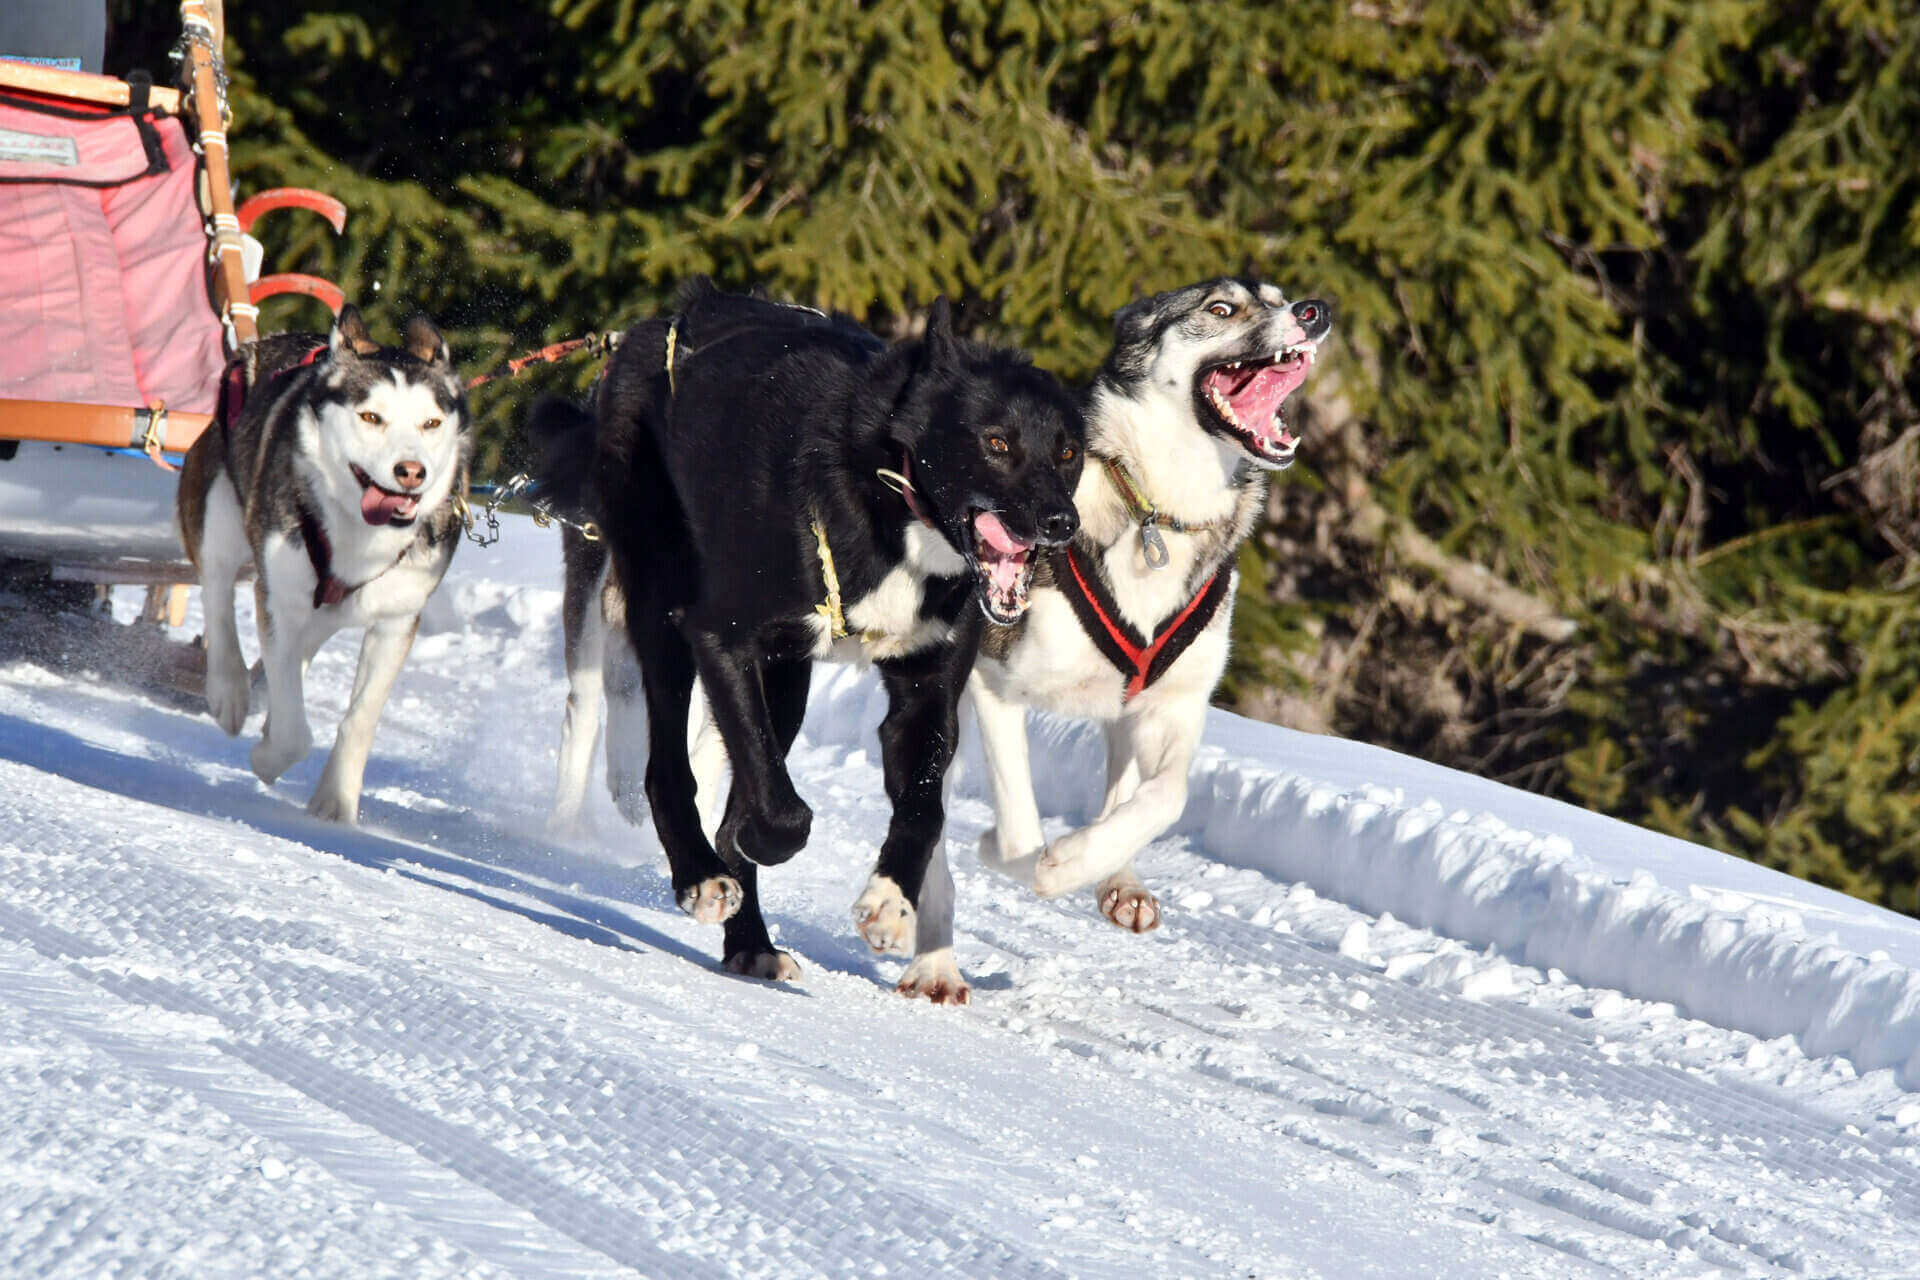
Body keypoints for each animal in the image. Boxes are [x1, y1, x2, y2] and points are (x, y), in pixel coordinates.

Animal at [177, 307, 472, 821]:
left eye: (431, 423)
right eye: (371, 417)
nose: (412, 472)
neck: (360, 534)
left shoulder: (396, 621)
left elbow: (359, 719)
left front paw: (336, 800)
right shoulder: (280, 598)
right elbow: (294, 733)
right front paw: (268, 756)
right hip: (219, 510)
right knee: (217, 590)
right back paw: (230, 689)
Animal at [533, 285, 1090, 997]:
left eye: (1068, 452)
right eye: (997, 441)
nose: (1061, 522)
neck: (887, 497)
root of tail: (662, 321)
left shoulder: (926, 691)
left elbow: (923, 808)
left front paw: (891, 902)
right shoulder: (720, 636)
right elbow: (778, 816)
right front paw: (752, 841)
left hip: (786, 677)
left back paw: (752, 945)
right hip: (662, 610)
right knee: (667, 769)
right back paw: (701, 875)